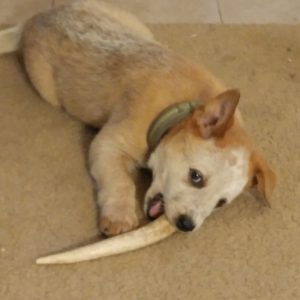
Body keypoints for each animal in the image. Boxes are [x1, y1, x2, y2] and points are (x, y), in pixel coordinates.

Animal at [0, 0, 276, 260]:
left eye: (220, 203)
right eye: (196, 176)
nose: (186, 225)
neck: (175, 112)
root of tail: (34, 19)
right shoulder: (108, 144)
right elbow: (120, 180)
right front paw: (119, 216)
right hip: (47, 88)